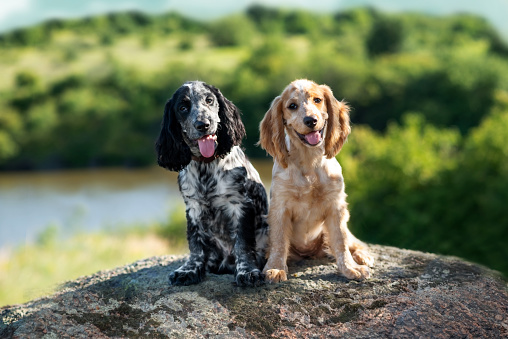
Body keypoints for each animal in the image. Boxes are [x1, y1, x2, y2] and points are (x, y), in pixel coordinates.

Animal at [156, 81, 270, 288]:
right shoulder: (193, 208)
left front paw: (247, 272)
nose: (203, 124)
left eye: (209, 100)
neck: (206, 165)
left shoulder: (240, 204)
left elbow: (243, 243)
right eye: (183, 107)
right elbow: (196, 244)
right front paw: (189, 269)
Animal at [258, 78, 374, 282]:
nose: (310, 120)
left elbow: (341, 241)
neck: (309, 161)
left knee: (353, 242)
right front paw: (275, 268)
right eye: (292, 106)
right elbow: (279, 242)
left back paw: (362, 256)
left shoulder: (336, 206)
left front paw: (351, 268)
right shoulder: (280, 207)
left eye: (318, 100)